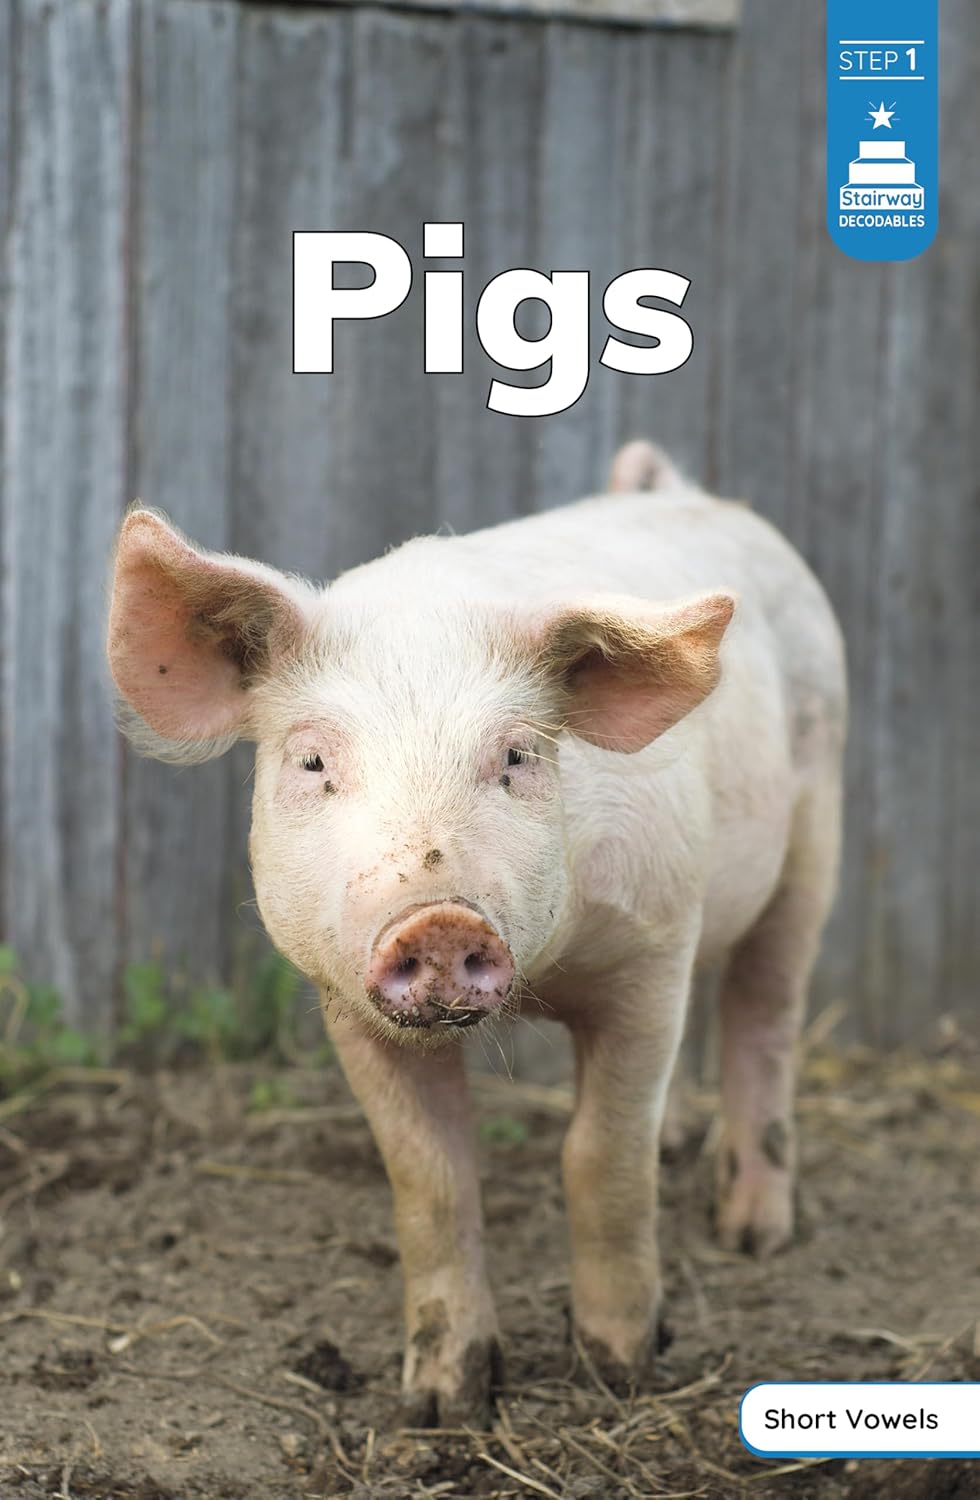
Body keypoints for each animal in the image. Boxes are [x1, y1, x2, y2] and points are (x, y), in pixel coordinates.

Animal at [106, 440, 846, 1426]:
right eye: (312, 760)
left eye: (517, 757)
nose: (439, 917)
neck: (546, 980)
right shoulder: (345, 1001)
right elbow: (430, 1175)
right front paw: (441, 1403)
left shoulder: (652, 943)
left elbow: (601, 1155)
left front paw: (619, 1370)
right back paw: (683, 1148)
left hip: (816, 820)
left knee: (766, 1009)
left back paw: (754, 1235)